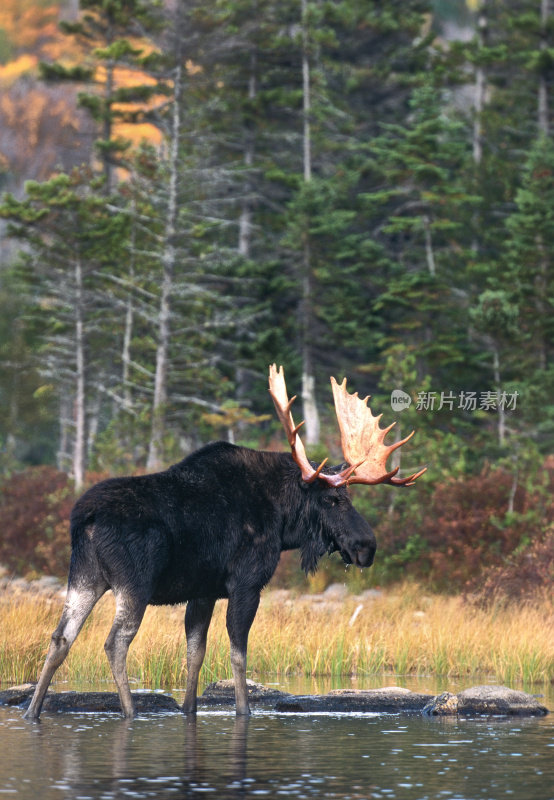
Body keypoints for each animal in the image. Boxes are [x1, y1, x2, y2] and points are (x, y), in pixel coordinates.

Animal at [23, 366, 424, 720]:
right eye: (333, 500)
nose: (367, 546)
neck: (283, 522)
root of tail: (85, 518)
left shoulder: (203, 590)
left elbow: (195, 653)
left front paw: (188, 709)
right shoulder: (246, 582)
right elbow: (238, 653)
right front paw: (244, 711)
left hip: (85, 576)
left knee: (60, 638)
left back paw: (32, 711)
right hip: (134, 582)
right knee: (115, 642)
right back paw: (130, 712)